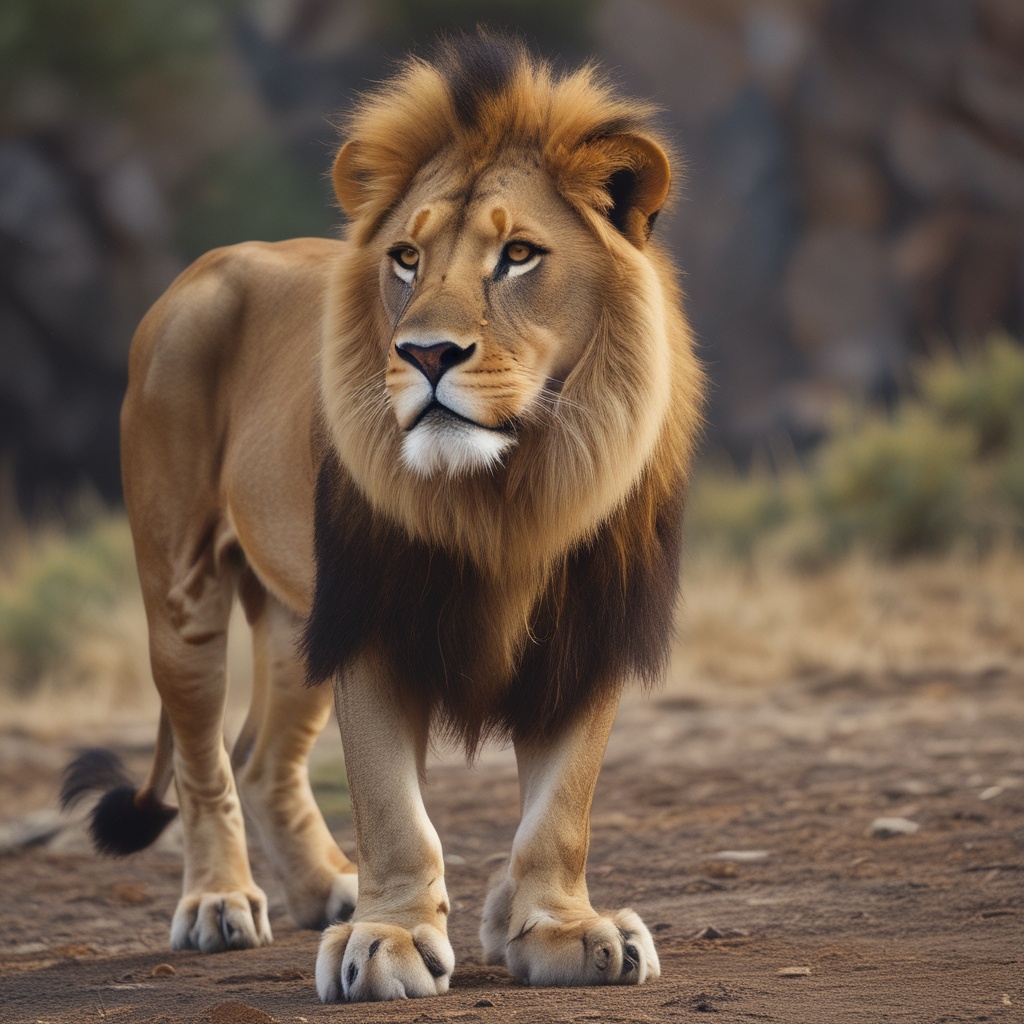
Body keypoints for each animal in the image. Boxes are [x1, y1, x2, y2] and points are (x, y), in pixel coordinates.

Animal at [61, 33, 705, 1002]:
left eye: (519, 254)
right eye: (405, 258)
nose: (427, 353)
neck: (511, 493)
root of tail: (210, 264)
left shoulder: (589, 629)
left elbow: (560, 809)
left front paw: (556, 927)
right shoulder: (368, 618)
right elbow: (394, 810)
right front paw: (389, 939)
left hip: (295, 622)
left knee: (263, 759)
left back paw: (326, 888)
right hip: (182, 591)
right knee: (205, 759)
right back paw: (219, 903)